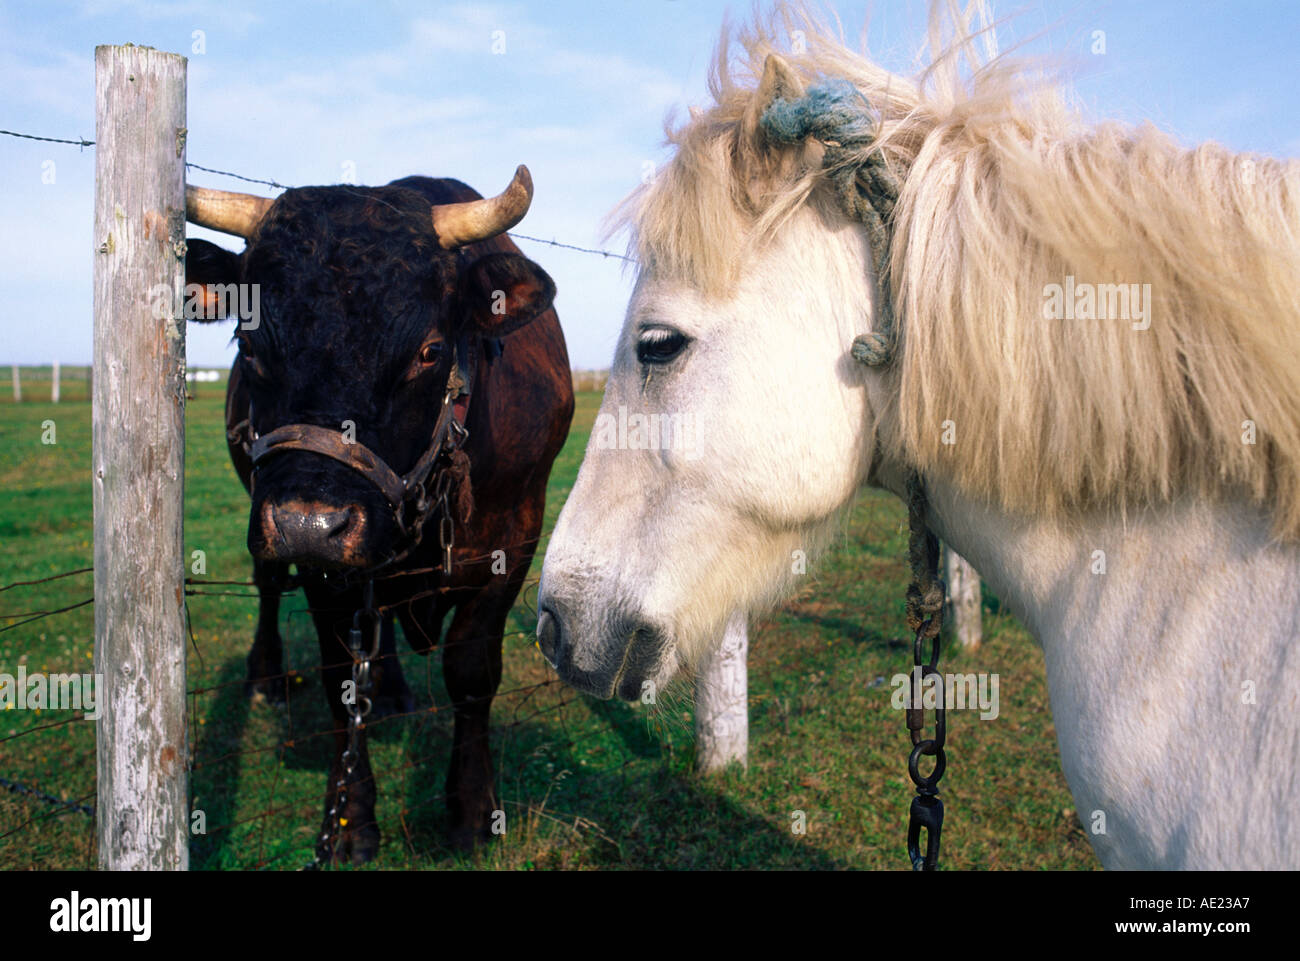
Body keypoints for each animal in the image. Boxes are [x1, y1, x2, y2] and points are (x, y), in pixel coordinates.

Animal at [185, 171, 572, 863]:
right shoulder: (321, 571)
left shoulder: (514, 542)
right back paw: (269, 675)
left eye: (431, 350)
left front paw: (473, 810)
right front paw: (348, 821)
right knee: (271, 588)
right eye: (247, 342)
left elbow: (471, 671)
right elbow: (341, 677)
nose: (309, 524)